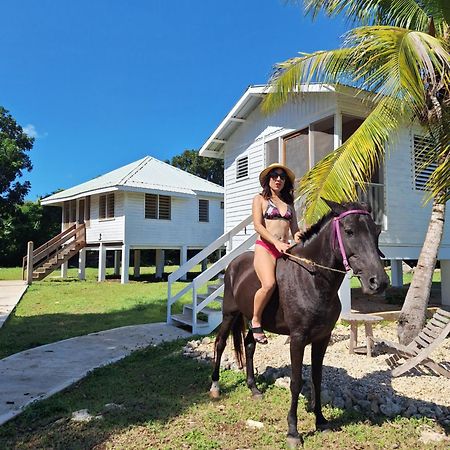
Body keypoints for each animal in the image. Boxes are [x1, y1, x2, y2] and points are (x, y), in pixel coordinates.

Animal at [209, 200, 388, 446]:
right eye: (349, 231)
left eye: (377, 231)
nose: (378, 282)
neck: (312, 279)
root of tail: (233, 264)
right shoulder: (297, 339)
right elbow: (296, 383)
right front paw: (293, 432)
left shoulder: (322, 338)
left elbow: (317, 379)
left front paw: (321, 421)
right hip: (229, 314)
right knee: (220, 344)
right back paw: (215, 387)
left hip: (254, 322)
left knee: (249, 344)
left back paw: (254, 389)